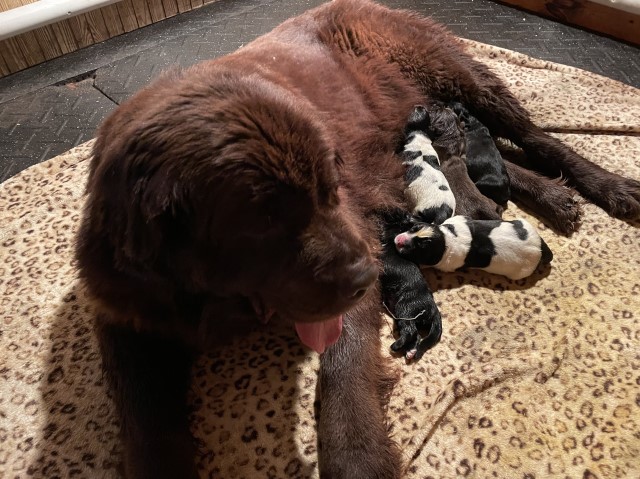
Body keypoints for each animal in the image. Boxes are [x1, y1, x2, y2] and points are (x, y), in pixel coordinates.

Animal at [392, 215, 552, 280]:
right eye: (414, 229)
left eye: (420, 248)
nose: (398, 240)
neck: (448, 238)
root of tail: (540, 248)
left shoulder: (444, 264)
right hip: (523, 222)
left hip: (521, 271)